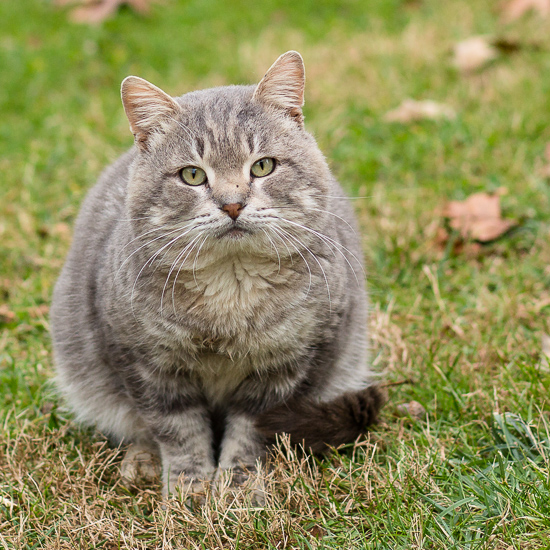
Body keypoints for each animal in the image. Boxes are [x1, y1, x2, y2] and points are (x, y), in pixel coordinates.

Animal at [51, 52, 386, 500]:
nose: (232, 204)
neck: (231, 291)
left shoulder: (286, 369)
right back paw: (140, 464)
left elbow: (249, 433)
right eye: (192, 175)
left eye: (263, 166)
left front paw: (238, 487)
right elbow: (177, 432)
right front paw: (189, 491)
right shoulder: (147, 364)